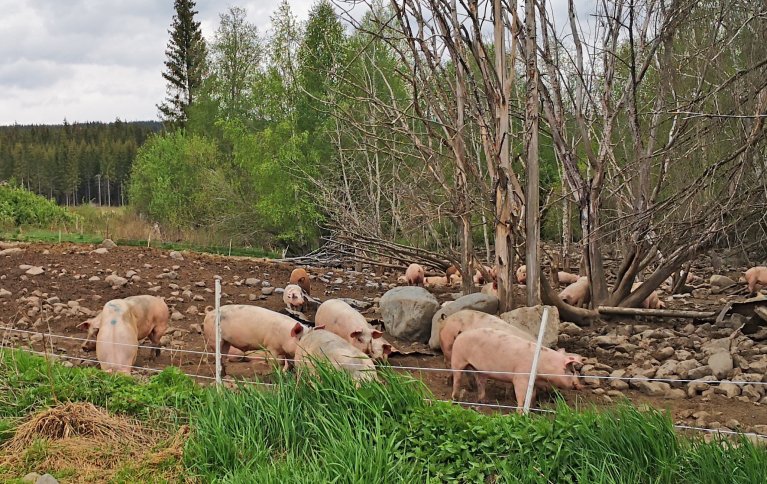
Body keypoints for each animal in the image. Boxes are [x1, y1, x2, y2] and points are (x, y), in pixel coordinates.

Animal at [450, 326, 584, 412]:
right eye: (572, 371)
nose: (580, 386)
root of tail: (461, 334)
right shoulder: (520, 377)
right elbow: (521, 395)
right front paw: (520, 413)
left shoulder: (533, 381)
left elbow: (532, 395)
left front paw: (533, 408)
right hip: (457, 359)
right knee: (457, 379)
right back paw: (455, 400)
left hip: (479, 370)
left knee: (480, 383)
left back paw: (483, 403)